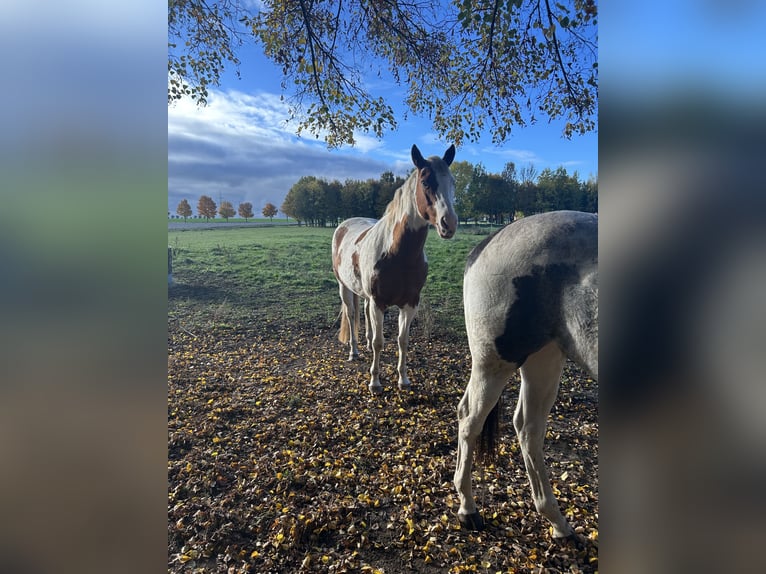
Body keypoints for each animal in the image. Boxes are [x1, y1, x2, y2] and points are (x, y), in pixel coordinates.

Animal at [331, 144, 458, 394]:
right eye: (425, 182)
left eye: (453, 182)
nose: (449, 223)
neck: (397, 255)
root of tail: (344, 225)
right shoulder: (379, 302)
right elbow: (380, 342)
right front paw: (375, 382)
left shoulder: (409, 303)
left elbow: (402, 340)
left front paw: (403, 379)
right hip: (344, 287)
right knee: (351, 316)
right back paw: (354, 352)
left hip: (366, 296)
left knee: (364, 315)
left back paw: (365, 346)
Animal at [453, 210, 598, 538]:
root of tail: (488, 241)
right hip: (494, 363)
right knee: (470, 419)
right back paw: (468, 507)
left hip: (544, 357)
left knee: (528, 427)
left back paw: (556, 521)